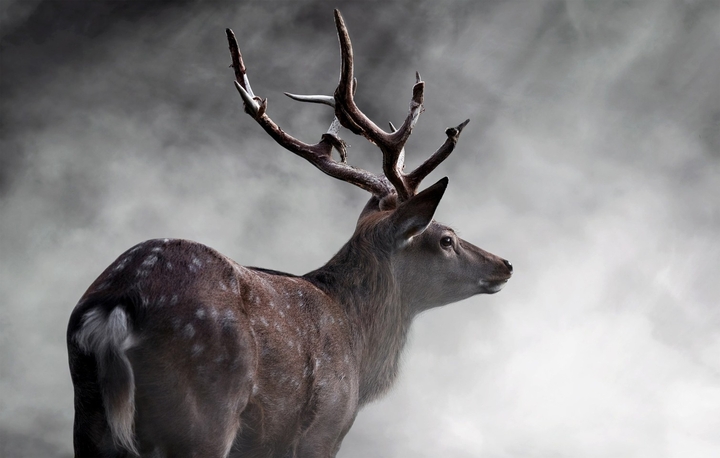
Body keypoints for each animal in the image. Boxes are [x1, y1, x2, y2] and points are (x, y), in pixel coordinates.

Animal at [66, 9, 512, 458]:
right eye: (446, 239)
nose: (504, 264)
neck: (358, 346)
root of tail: (119, 301)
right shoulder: (325, 427)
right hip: (201, 410)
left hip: (89, 417)